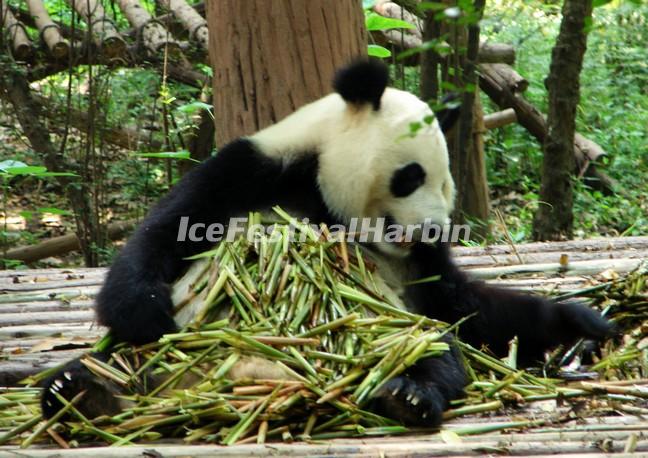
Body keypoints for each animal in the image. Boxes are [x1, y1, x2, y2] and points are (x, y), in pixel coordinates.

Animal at [41, 60, 612, 426]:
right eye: (411, 176)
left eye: (447, 183)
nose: (432, 229)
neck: (326, 196)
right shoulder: (253, 171)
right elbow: (163, 234)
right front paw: (145, 308)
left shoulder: (421, 268)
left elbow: (463, 307)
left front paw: (578, 320)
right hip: (159, 362)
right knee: (115, 363)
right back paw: (81, 393)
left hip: (387, 336)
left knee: (423, 348)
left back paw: (408, 394)